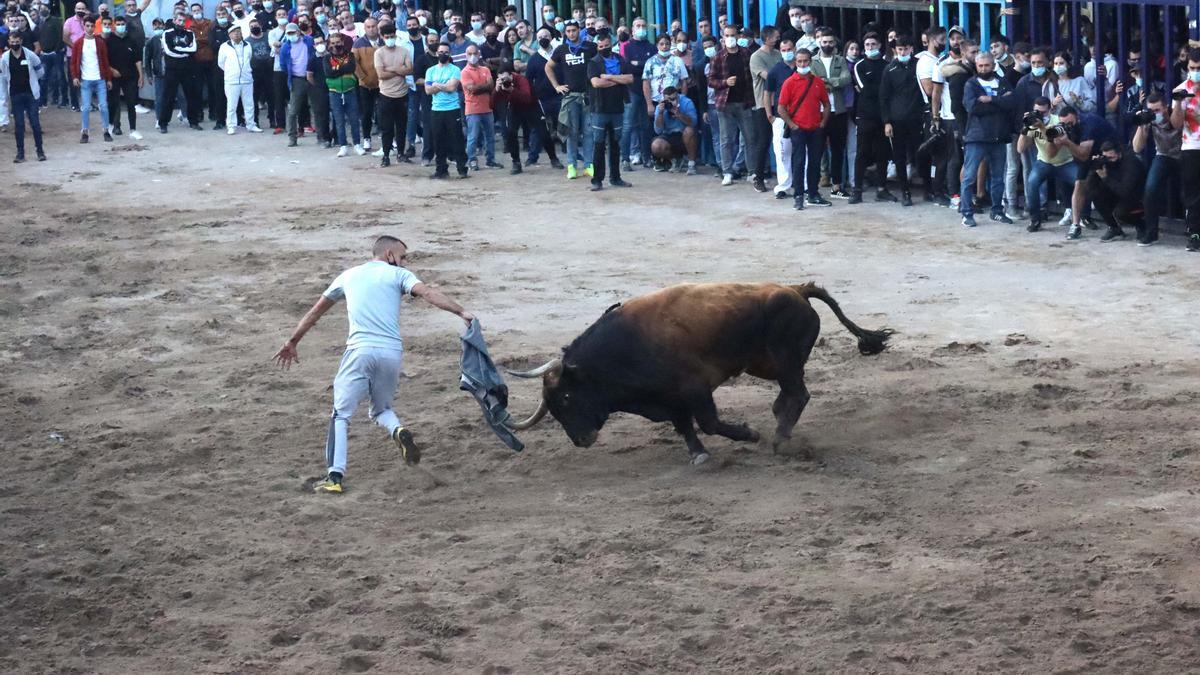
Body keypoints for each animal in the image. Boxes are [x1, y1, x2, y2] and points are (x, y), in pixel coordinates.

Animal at [499, 279, 892, 461]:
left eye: (566, 396)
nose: (581, 440)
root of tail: (795, 289)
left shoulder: (696, 390)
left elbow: (709, 422)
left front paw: (749, 434)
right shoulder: (671, 400)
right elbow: (685, 426)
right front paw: (698, 453)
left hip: (786, 361)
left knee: (799, 393)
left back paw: (780, 438)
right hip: (767, 365)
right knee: (789, 395)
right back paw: (780, 422)